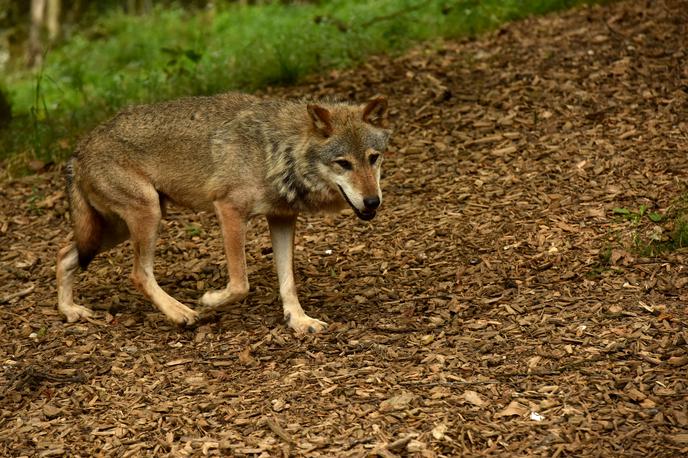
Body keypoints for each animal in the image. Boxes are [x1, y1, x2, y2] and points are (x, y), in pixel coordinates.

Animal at [56, 92, 390, 332]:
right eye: (343, 163)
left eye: (373, 158)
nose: (373, 202)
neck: (276, 150)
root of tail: (78, 150)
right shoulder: (229, 211)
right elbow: (241, 284)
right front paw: (209, 300)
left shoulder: (282, 218)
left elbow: (288, 281)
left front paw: (299, 320)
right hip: (146, 216)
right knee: (138, 274)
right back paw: (180, 313)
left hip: (117, 229)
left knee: (63, 255)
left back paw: (70, 311)